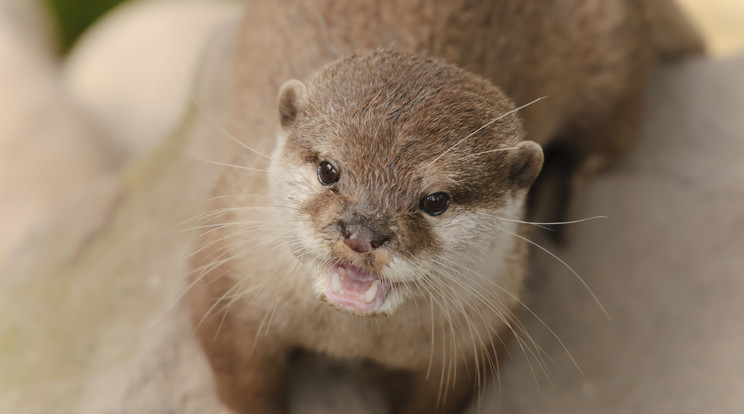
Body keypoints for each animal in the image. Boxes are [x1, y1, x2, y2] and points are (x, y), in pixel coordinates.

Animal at [187, 1, 704, 412]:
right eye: (329, 171)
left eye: (435, 200)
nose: (362, 233)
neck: (351, 337)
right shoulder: (226, 279)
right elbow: (241, 375)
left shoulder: (473, 345)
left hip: (613, 63)